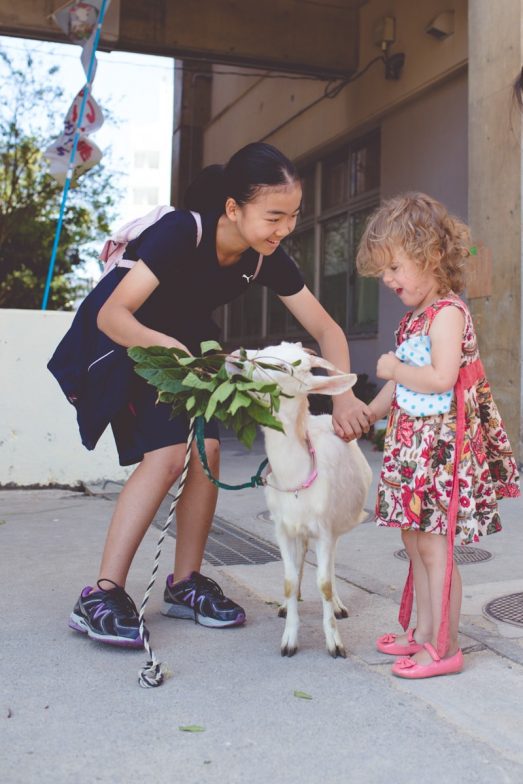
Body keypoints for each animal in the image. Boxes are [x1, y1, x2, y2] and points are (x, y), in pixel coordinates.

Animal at [229, 344, 372, 656]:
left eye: (284, 367)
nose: (235, 357)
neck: (295, 477)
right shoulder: (282, 528)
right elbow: (288, 579)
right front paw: (289, 639)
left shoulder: (325, 528)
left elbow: (325, 583)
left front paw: (335, 643)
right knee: (302, 558)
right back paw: (288, 605)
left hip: (336, 525)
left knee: (330, 564)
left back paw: (339, 606)